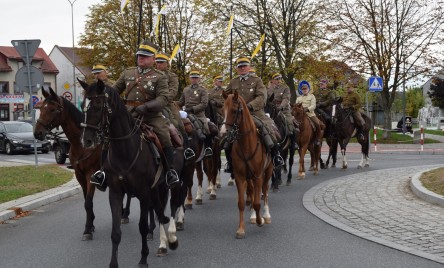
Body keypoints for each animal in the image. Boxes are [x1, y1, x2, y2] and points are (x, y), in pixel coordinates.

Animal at [33, 86, 135, 241]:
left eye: (52, 109)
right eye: (41, 108)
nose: (37, 132)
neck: (80, 144)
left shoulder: (90, 175)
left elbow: (88, 202)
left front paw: (87, 229)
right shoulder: (79, 175)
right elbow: (86, 202)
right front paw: (91, 224)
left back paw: (125, 214)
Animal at [80, 80, 177, 268]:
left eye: (97, 105)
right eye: (82, 106)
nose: (86, 140)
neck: (125, 151)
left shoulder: (144, 192)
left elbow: (143, 227)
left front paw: (143, 259)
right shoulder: (115, 193)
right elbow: (116, 232)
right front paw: (113, 263)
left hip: (160, 187)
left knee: (161, 211)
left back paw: (169, 241)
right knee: (159, 211)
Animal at [219, 91, 274, 239]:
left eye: (234, 111)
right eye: (222, 110)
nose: (223, 133)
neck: (246, 144)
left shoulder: (258, 176)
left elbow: (257, 202)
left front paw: (260, 221)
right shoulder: (240, 177)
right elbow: (242, 203)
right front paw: (241, 229)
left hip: (268, 171)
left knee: (265, 191)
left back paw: (266, 216)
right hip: (249, 178)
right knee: (251, 192)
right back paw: (254, 216)